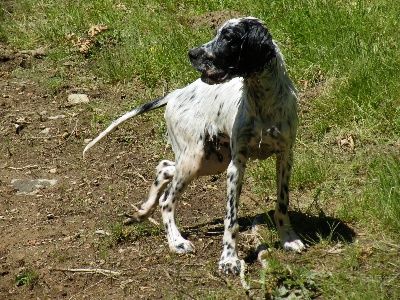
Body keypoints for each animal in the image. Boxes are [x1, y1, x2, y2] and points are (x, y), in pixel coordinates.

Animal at [83, 16, 304, 274]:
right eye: (217, 33)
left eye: (228, 38)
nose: (192, 53)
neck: (263, 104)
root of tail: (176, 94)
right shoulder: (236, 166)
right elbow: (231, 220)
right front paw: (229, 259)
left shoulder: (285, 157)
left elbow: (282, 204)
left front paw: (288, 238)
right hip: (196, 159)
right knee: (167, 199)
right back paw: (176, 241)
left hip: (209, 160)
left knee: (164, 167)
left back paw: (144, 210)